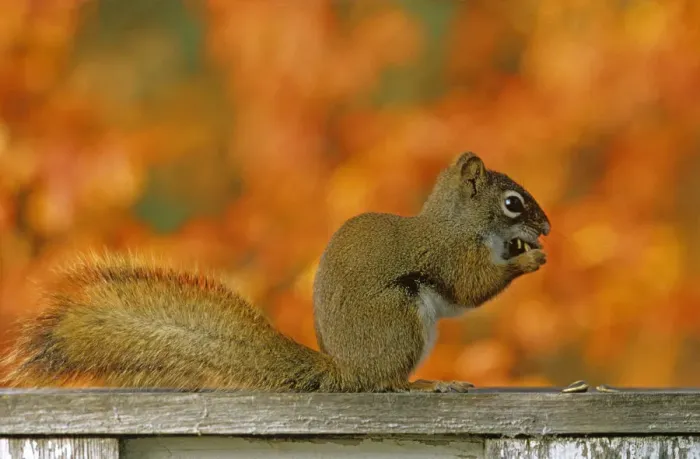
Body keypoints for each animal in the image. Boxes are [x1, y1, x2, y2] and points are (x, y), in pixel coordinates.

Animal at [1, 152, 550, 393]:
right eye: (513, 202)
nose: (546, 227)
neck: (458, 223)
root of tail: (345, 369)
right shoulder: (446, 255)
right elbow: (471, 286)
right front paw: (526, 258)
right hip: (400, 321)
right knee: (386, 385)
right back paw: (424, 385)